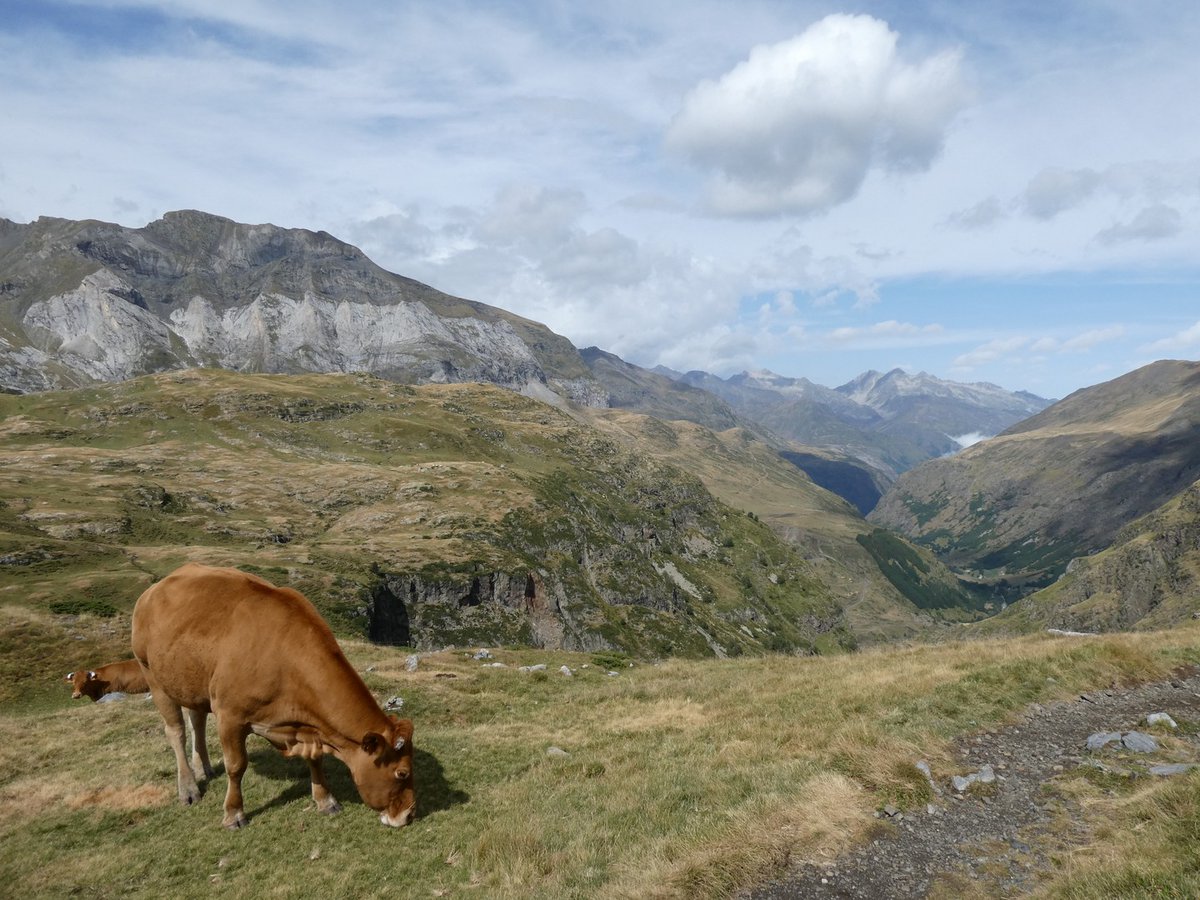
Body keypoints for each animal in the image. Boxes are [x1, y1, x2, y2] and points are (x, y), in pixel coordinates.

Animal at [131, 562, 415, 829]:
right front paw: (234, 814)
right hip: (152, 675)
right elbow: (236, 766)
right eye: (402, 773)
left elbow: (315, 759)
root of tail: (153, 590)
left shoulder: (307, 725)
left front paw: (325, 800)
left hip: (193, 681)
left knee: (196, 720)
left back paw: (204, 767)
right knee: (176, 731)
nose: (409, 815)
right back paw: (188, 788)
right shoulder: (229, 716)